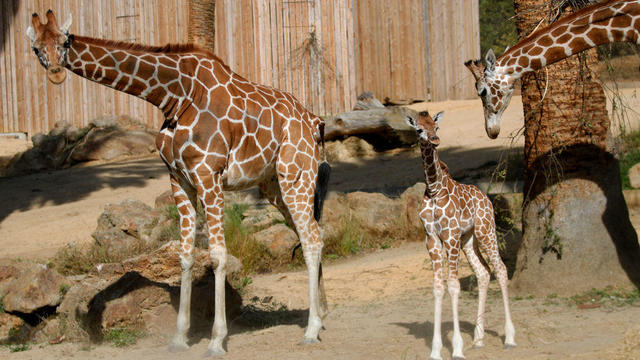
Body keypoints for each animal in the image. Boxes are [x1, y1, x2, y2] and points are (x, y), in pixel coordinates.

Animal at [26, 9, 330, 356]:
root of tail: (315, 122)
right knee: (310, 233)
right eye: (36, 47)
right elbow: (185, 255)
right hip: (274, 184)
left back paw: (311, 329)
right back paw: (321, 314)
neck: (172, 96)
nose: (55, 73)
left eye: (64, 42)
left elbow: (217, 256)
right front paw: (179, 337)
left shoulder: (208, 175)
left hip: (296, 174)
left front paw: (216, 340)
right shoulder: (179, 179)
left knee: (311, 238)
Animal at [408, 111, 516, 358]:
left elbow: (454, 285)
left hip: (486, 231)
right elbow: (438, 287)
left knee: (500, 269)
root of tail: (486, 197)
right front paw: (436, 351)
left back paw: (509, 338)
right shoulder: (432, 239)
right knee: (484, 272)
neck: (434, 190)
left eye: (436, 125)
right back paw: (478, 338)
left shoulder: (450, 235)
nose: (435, 139)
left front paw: (456, 348)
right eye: (419, 129)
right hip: (469, 240)